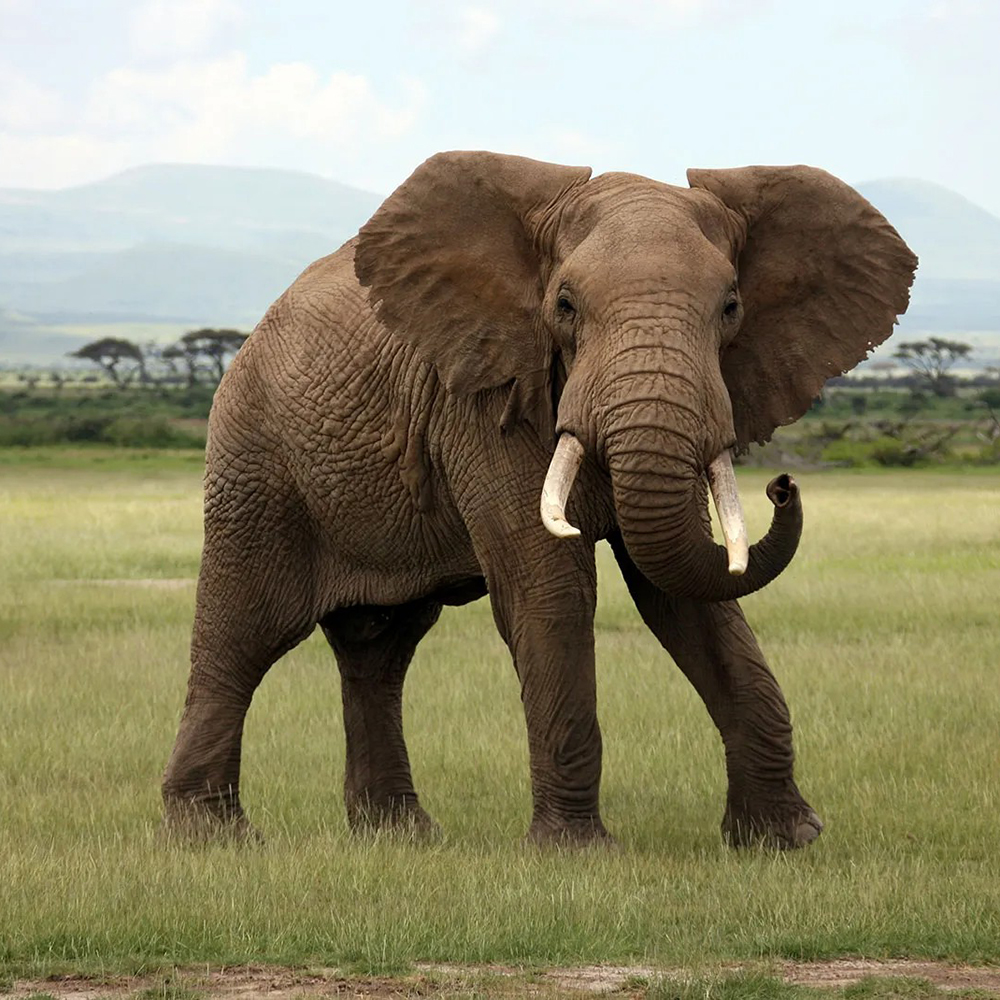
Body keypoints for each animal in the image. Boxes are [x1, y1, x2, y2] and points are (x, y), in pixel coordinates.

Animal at [162, 151, 916, 849]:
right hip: (254, 463)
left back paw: (402, 839)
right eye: (565, 307)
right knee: (244, 632)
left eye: (731, 308)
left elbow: (686, 593)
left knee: (379, 649)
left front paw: (785, 841)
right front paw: (577, 853)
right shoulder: (485, 398)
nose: (782, 486)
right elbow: (550, 587)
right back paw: (213, 837)